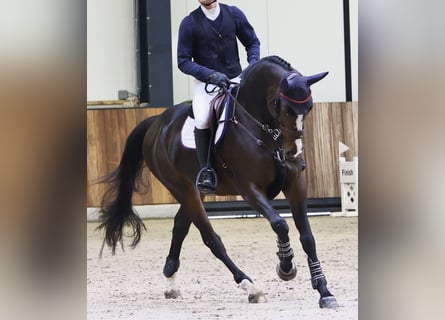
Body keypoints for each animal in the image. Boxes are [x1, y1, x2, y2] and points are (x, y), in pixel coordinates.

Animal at [98, 55, 336, 308]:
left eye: (309, 108)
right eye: (281, 106)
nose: (293, 152)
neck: (263, 129)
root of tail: (157, 122)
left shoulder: (295, 185)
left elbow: (307, 237)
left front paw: (324, 291)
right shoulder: (249, 188)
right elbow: (280, 224)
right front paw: (286, 266)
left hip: (194, 191)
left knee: (180, 226)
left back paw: (171, 281)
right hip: (182, 189)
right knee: (211, 239)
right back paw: (250, 287)